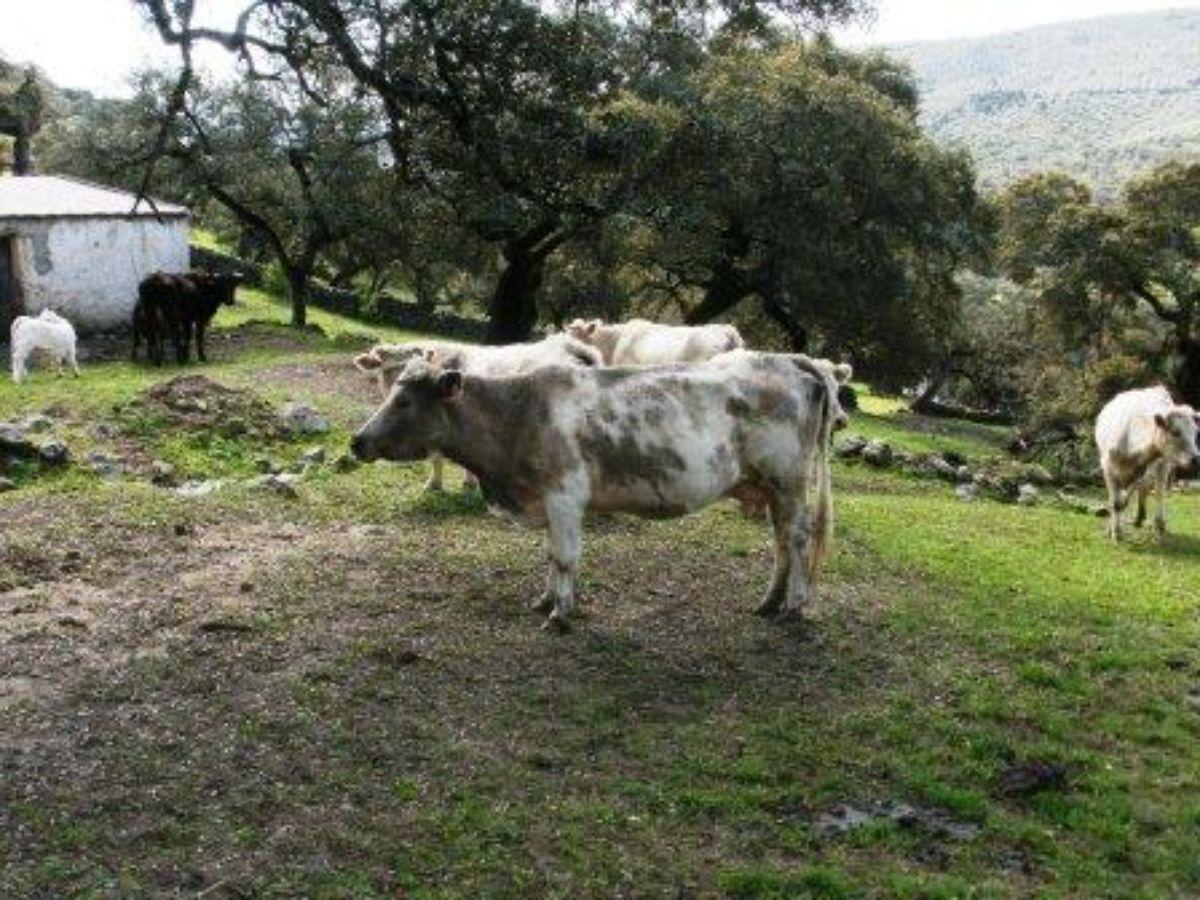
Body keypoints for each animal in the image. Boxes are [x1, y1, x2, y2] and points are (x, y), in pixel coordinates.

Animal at [350, 348, 840, 628]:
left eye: (404, 400)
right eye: (390, 391)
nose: (357, 440)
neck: (519, 415)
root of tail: (790, 359)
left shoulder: (564, 495)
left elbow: (566, 556)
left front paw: (561, 614)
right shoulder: (548, 502)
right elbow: (552, 556)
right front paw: (545, 599)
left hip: (789, 480)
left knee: (798, 538)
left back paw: (795, 606)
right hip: (770, 486)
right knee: (781, 541)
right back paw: (769, 602)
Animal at [1099, 384, 1200, 540]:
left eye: (1196, 432)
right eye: (1175, 432)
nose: (1196, 459)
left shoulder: (1149, 467)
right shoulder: (1108, 467)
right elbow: (1115, 502)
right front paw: (1114, 531)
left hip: (1160, 466)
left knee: (1152, 490)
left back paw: (1151, 521)